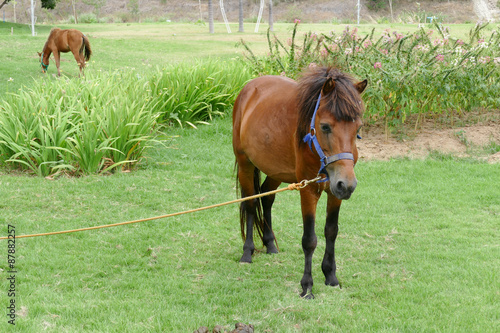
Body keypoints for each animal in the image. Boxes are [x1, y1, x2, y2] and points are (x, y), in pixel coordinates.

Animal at [231, 65, 368, 298]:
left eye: (357, 128)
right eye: (325, 126)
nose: (347, 184)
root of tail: (248, 88)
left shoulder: (334, 192)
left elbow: (331, 231)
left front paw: (331, 276)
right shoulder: (308, 189)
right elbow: (309, 239)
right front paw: (307, 286)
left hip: (275, 170)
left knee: (266, 198)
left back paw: (270, 244)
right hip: (245, 164)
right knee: (250, 203)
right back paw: (247, 252)